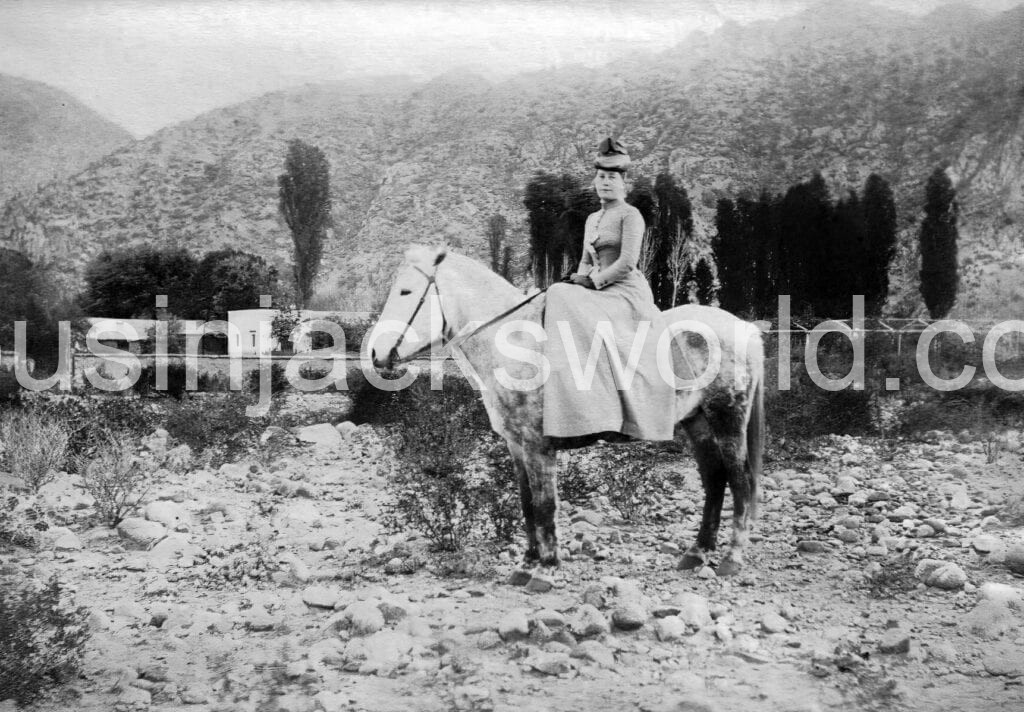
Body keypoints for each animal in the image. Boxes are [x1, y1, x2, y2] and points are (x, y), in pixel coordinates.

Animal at [372, 244, 765, 573]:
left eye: (406, 291)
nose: (376, 354)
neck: (518, 343)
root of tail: (743, 327)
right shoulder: (516, 446)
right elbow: (527, 502)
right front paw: (530, 559)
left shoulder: (538, 446)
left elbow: (545, 504)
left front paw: (547, 566)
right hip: (697, 421)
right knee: (714, 479)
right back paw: (698, 551)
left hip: (727, 418)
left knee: (741, 482)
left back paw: (732, 557)